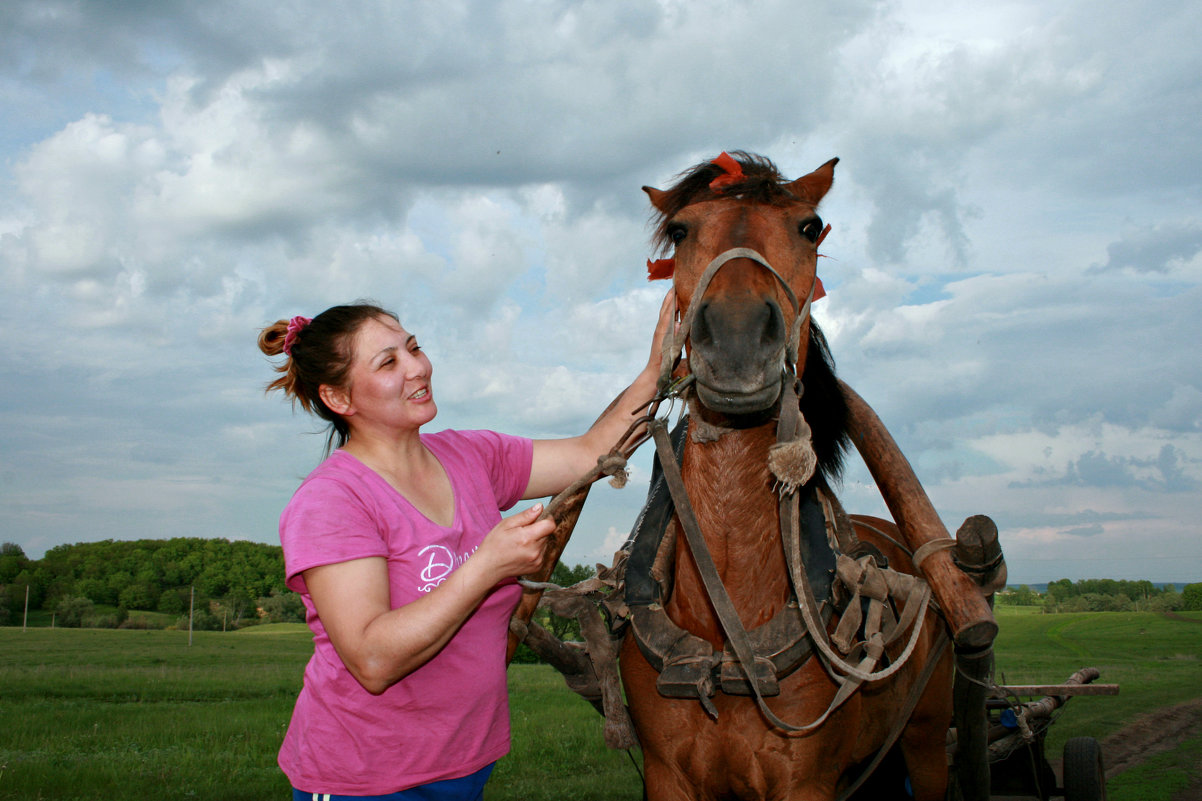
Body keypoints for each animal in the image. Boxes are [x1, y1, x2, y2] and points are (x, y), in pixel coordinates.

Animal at [620, 152, 956, 798]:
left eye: (809, 226)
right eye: (680, 231)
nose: (736, 338)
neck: (727, 626)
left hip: (928, 739)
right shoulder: (666, 773)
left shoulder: (805, 781)